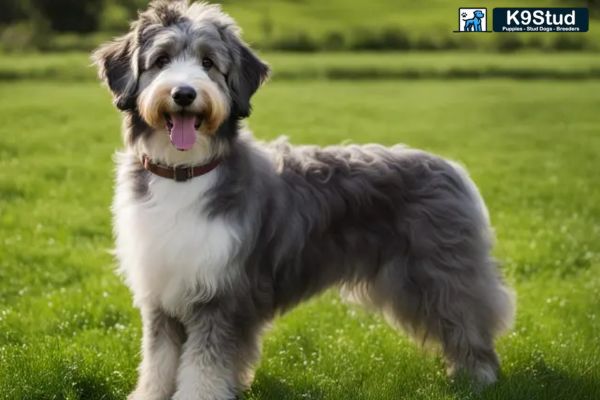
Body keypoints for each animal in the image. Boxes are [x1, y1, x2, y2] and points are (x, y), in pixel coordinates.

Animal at [94, 1, 516, 398]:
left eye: (208, 63)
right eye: (161, 60)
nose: (183, 94)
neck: (185, 173)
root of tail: (451, 169)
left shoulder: (220, 294)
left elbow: (204, 364)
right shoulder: (162, 290)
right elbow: (159, 359)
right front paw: (150, 394)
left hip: (439, 276)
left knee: (470, 320)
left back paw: (479, 378)